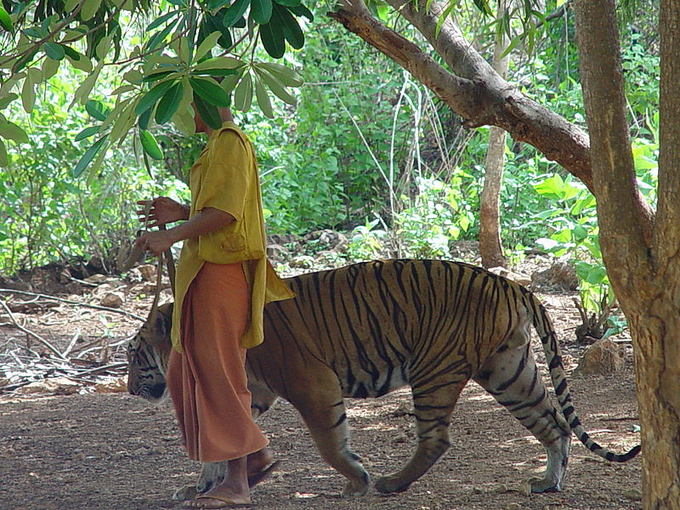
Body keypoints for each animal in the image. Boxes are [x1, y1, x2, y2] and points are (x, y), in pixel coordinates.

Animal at [129, 258, 644, 498]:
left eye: (134, 356)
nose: (131, 388)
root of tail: (511, 283)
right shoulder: (252, 394)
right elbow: (221, 444)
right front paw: (199, 487)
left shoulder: (312, 383)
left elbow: (330, 442)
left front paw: (356, 479)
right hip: (508, 371)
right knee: (554, 424)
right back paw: (548, 482)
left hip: (434, 368)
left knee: (436, 439)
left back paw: (391, 483)